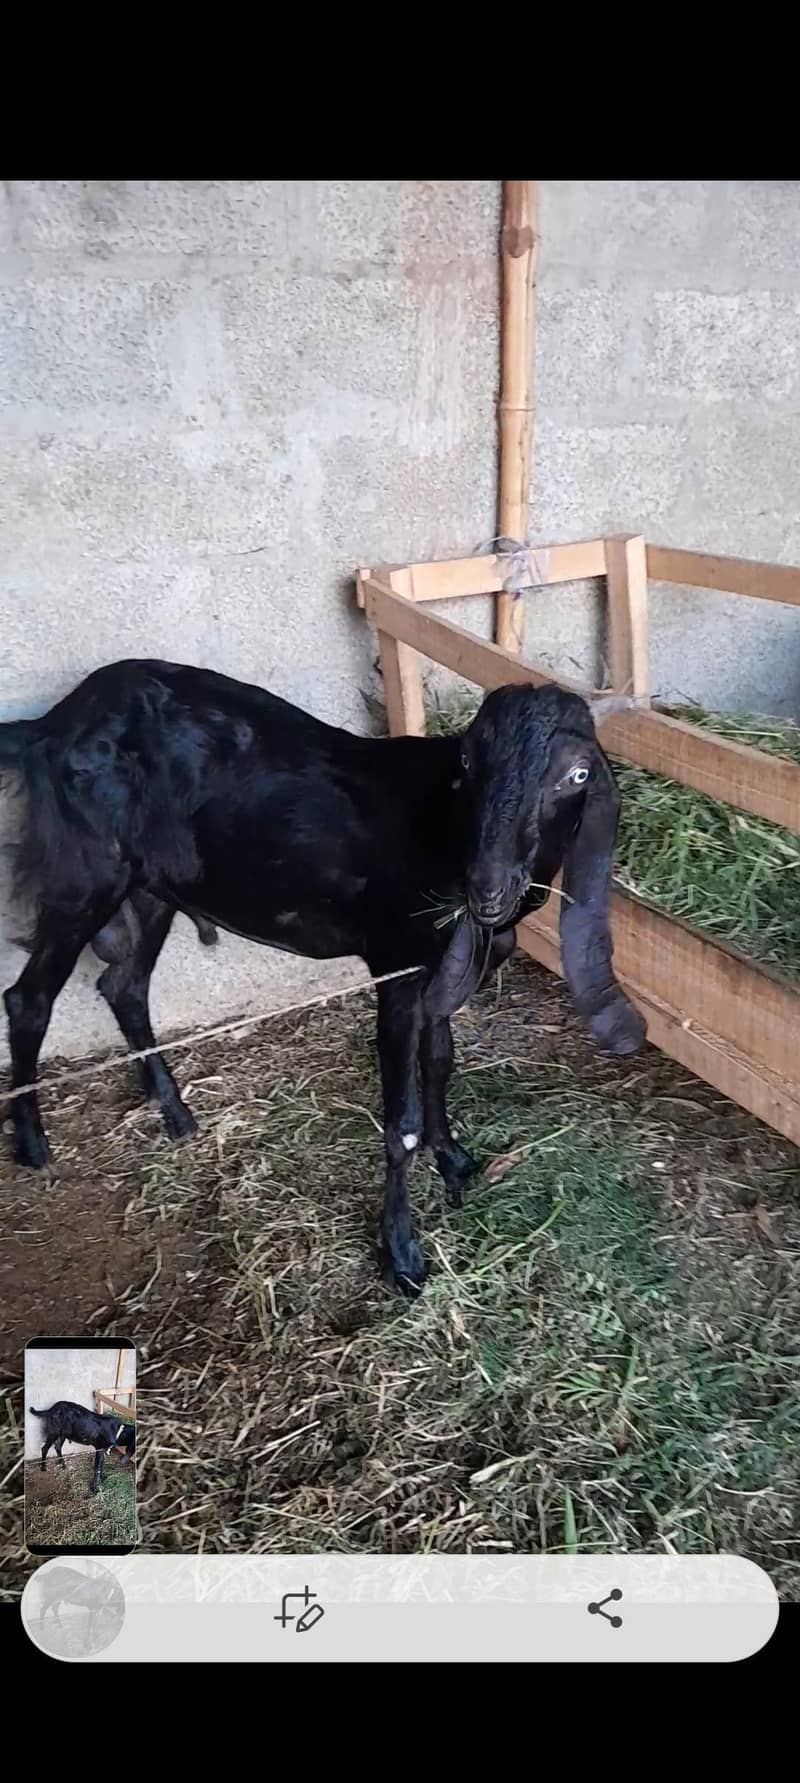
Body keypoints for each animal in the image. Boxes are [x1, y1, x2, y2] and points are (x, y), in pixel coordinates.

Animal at [1, 661, 645, 1290]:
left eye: (578, 774)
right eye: (467, 763)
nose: (486, 886)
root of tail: (51, 724)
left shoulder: (440, 967)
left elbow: (440, 1063)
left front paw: (455, 1161)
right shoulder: (396, 965)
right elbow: (401, 1120)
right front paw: (402, 1256)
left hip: (152, 884)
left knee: (124, 985)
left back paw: (175, 1112)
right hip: (89, 873)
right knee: (29, 999)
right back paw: (33, 1143)